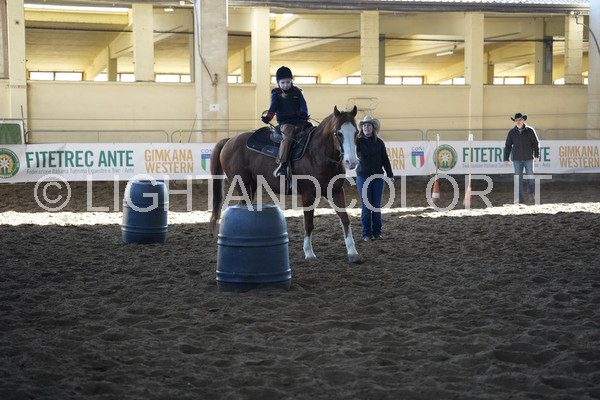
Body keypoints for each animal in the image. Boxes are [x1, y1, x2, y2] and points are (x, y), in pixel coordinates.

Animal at [209, 105, 361, 263]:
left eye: (356, 132)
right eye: (338, 133)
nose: (352, 162)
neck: (317, 154)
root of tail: (229, 140)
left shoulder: (336, 191)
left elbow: (345, 219)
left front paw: (352, 252)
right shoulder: (308, 194)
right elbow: (308, 224)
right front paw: (309, 253)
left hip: (251, 185)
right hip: (241, 184)